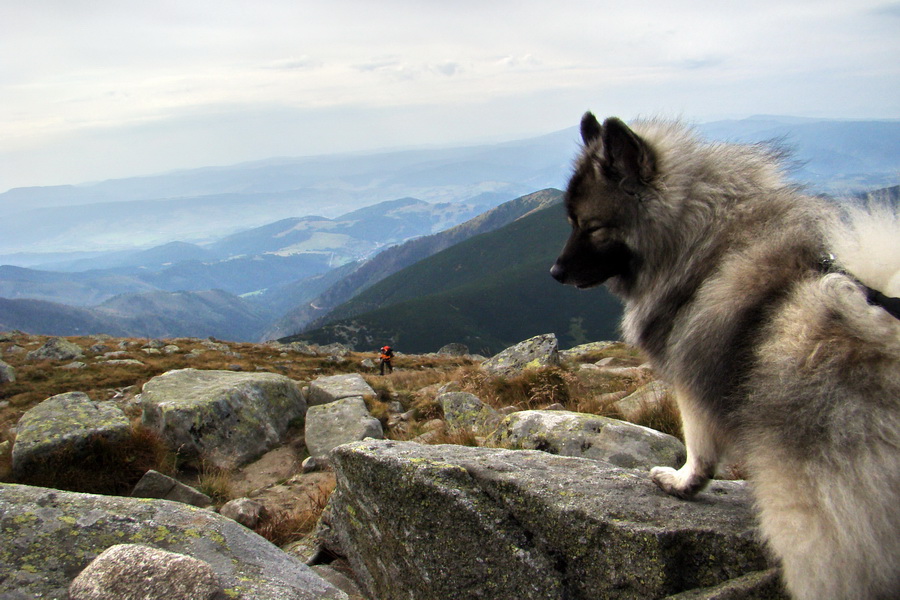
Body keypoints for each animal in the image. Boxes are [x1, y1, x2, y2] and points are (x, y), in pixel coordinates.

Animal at [548, 113, 900, 600]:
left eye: (592, 226)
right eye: (571, 222)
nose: (554, 271)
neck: (701, 239)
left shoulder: (691, 382)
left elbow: (699, 448)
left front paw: (681, 483)